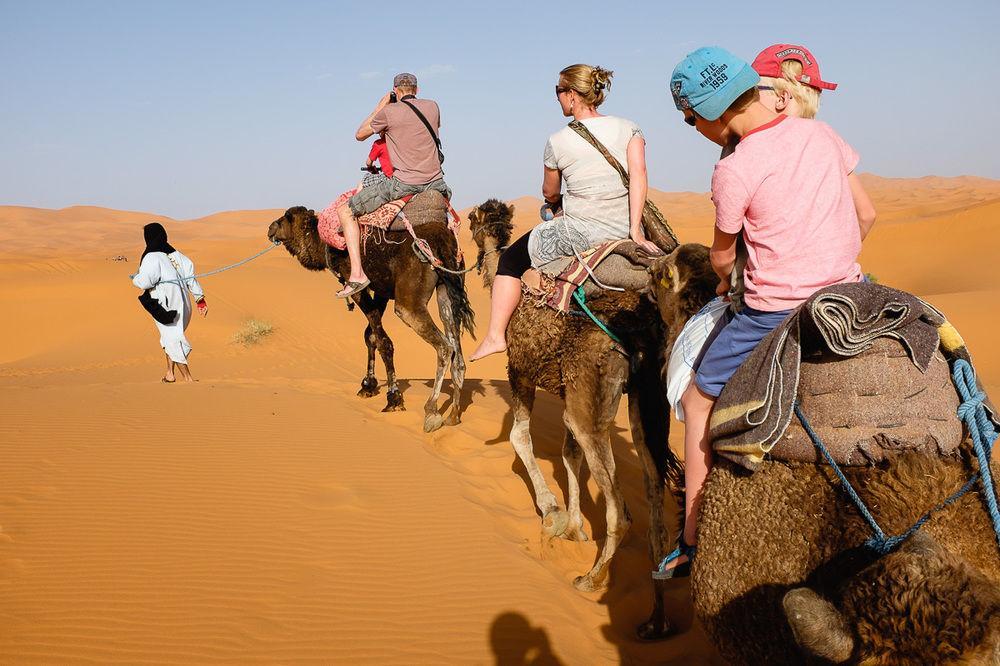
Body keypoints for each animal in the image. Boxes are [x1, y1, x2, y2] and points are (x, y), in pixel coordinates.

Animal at [264, 195, 470, 430]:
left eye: (287, 217)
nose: (270, 228)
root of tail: (441, 242)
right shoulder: (381, 290)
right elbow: (370, 334)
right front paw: (368, 385)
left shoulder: (355, 282)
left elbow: (382, 340)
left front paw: (393, 398)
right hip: (448, 286)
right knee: (455, 346)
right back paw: (453, 415)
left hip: (410, 301)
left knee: (443, 346)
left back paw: (431, 411)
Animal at [464, 198, 684, 640]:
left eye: (474, 219)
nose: (462, 221)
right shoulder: (567, 391)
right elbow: (569, 455)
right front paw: (576, 526)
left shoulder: (521, 371)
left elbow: (520, 438)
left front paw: (553, 514)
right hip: (647, 403)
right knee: (653, 496)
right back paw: (656, 620)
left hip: (593, 395)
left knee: (620, 509)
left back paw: (591, 579)